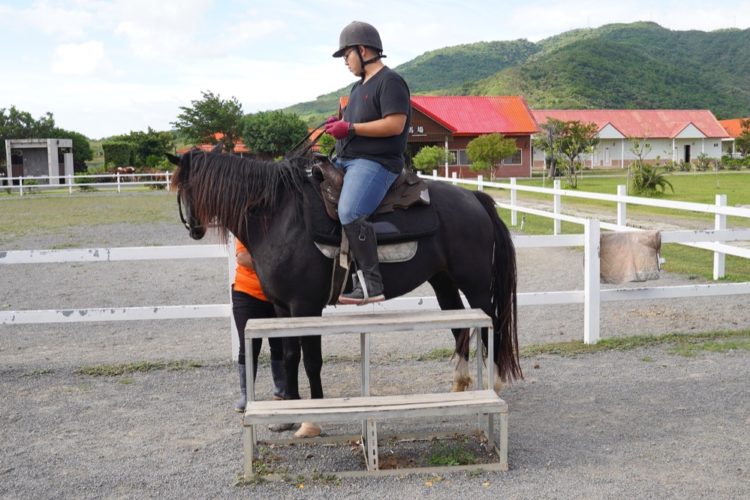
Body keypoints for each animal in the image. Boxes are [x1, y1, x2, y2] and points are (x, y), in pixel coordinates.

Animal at [170, 151, 524, 406]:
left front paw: (315, 411)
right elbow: (289, 356)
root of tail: (474, 198)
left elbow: (311, 360)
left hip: (476, 284)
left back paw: (493, 382)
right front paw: (292, 406)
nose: (193, 228)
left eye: (183, 187)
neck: (279, 217)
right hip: (443, 281)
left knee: (491, 323)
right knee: (460, 326)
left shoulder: (306, 306)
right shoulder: (283, 308)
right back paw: (460, 384)